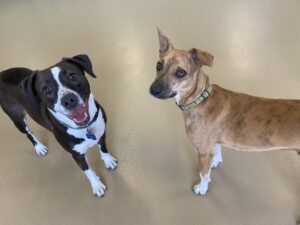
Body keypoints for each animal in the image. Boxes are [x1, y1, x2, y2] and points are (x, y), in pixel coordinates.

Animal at [0, 55, 117, 197]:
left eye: (72, 76)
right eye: (46, 89)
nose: (68, 100)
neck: (85, 128)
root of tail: (1, 73)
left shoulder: (101, 133)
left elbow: (103, 148)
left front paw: (108, 160)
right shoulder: (76, 155)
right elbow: (88, 171)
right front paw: (96, 185)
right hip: (18, 119)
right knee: (29, 134)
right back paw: (39, 147)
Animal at [149, 29, 298, 195]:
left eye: (181, 73)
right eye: (159, 65)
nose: (153, 90)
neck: (200, 98)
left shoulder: (202, 151)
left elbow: (203, 174)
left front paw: (202, 188)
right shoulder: (213, 142)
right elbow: (217, 151)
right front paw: (215, 161)